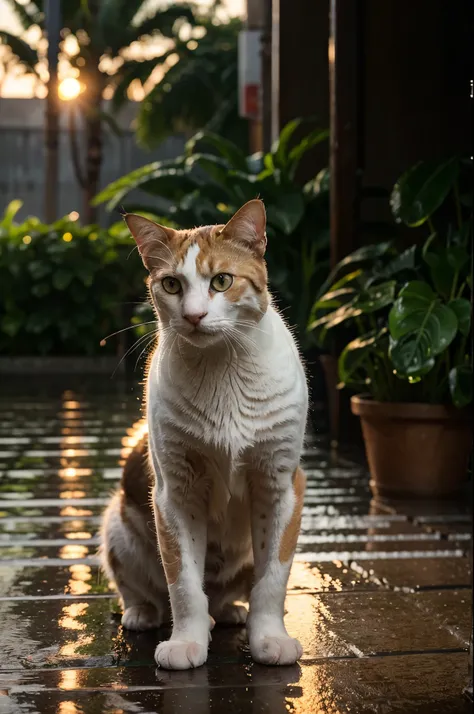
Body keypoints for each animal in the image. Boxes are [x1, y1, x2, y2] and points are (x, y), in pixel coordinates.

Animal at [100, 199, 308, 668]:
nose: (194, 316)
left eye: (222, 281)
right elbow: (183, 584)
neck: (222, 367)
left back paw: (229, 611)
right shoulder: (175, 492)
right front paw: (186, 643)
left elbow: (273, 578)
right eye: (172, 284)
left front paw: (269, 638)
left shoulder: (281, 484)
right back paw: (143, 613)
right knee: (138, 587)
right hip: (117, 527)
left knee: (229, 593)